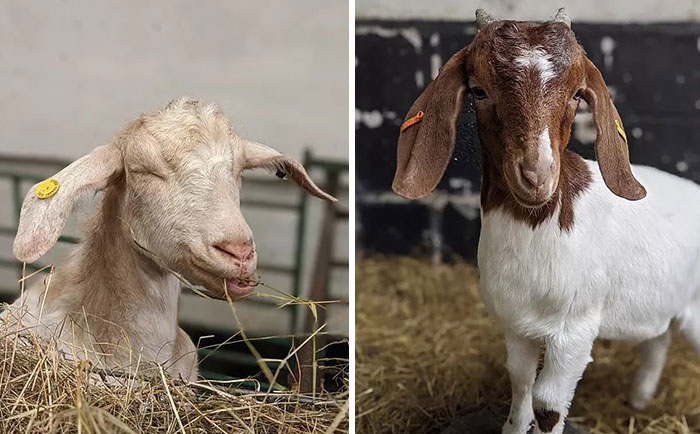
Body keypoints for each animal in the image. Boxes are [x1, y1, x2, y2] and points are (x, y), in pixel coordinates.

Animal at [393, 8, 700, 434]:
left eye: (576, 95)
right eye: (479, 91)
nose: (536, 176)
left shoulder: (575, 331)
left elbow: (548, 404)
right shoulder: (516, 324)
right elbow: (520, 382)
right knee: (658, 340)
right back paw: (639, 399)